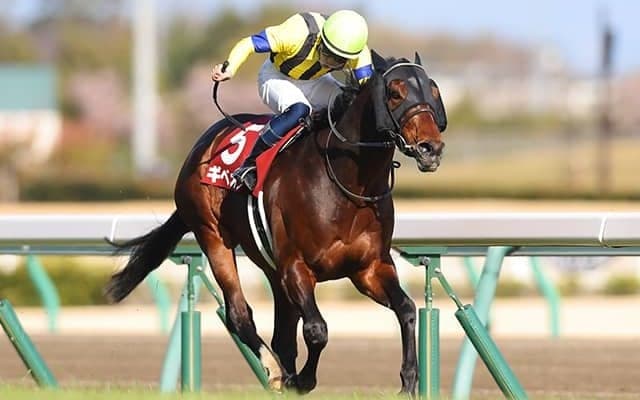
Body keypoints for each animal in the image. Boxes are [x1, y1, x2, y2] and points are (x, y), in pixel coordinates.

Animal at [104, 50, 446, 396]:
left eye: (433, 90)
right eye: (395, 93)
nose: (431, 148)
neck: (347, 184)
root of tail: (204, 143)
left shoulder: (369, 268)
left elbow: (406, 310)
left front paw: (409, 382)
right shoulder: (296, 266)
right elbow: (316, 329)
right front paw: (302, 380)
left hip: (272, 267)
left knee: (282, 333)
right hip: (212, 234)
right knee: (239, 314)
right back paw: (275, 371)